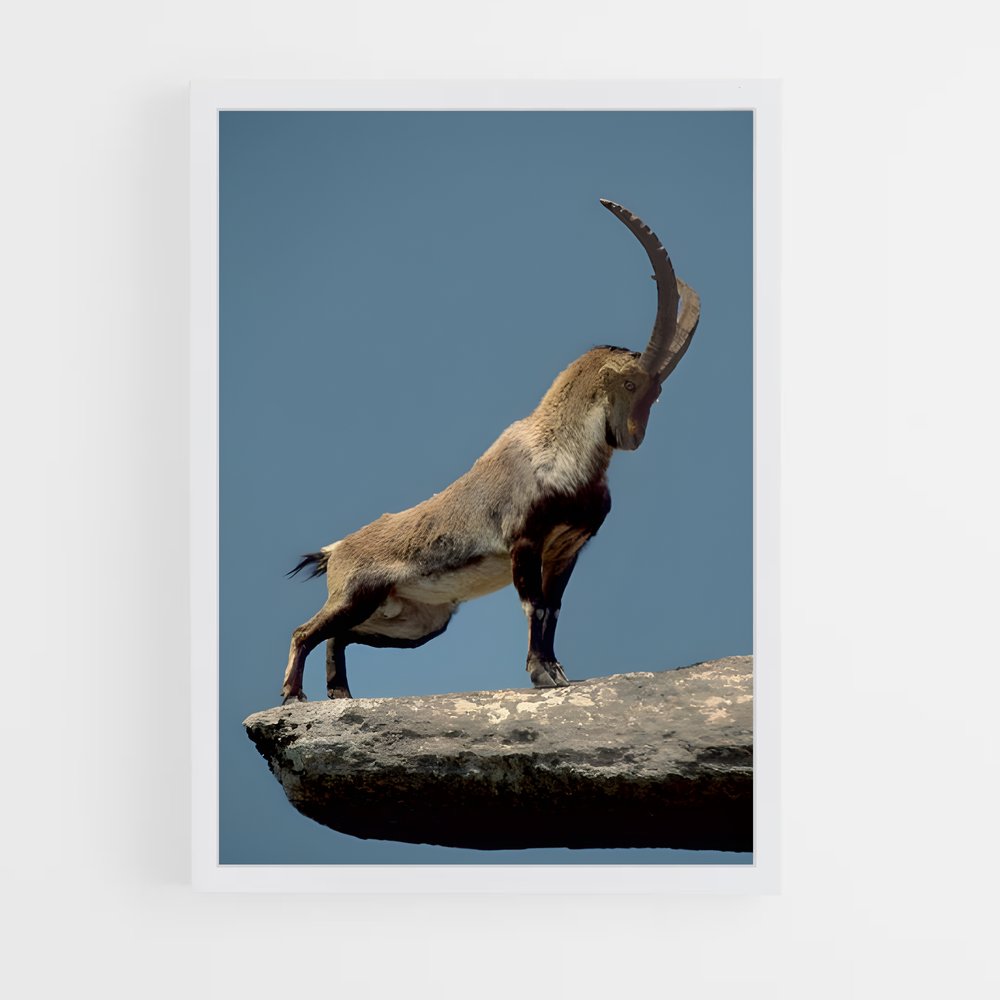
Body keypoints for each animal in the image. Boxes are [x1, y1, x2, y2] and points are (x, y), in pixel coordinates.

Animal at [280, 199, 701, 703]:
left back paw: (341, 695)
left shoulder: (568, 548)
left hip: (416, 620)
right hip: (356, 594)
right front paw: (542, 674)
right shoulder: (525, 540)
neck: (561, 455)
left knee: (338, 635)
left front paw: (557, 670)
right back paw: (293, 695)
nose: (633, 438)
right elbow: (535, 606)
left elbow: (554, 608)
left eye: (657, 394)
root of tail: (335, 550)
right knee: (305, 631)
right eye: (633, 384)